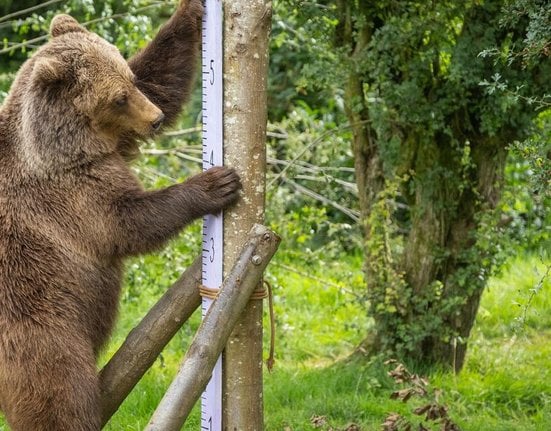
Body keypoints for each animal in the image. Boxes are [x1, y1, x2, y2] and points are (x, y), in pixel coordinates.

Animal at [0, 1, 242, 430]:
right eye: (117, 98)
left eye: (129, 81)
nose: (156, 118)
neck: (68, 145)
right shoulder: (69, 193)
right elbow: (127, 222)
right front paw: (215, 183)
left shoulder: (110, 145)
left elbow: (161, 74)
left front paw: (189, 13)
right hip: (39, 324)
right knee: (57, 390)